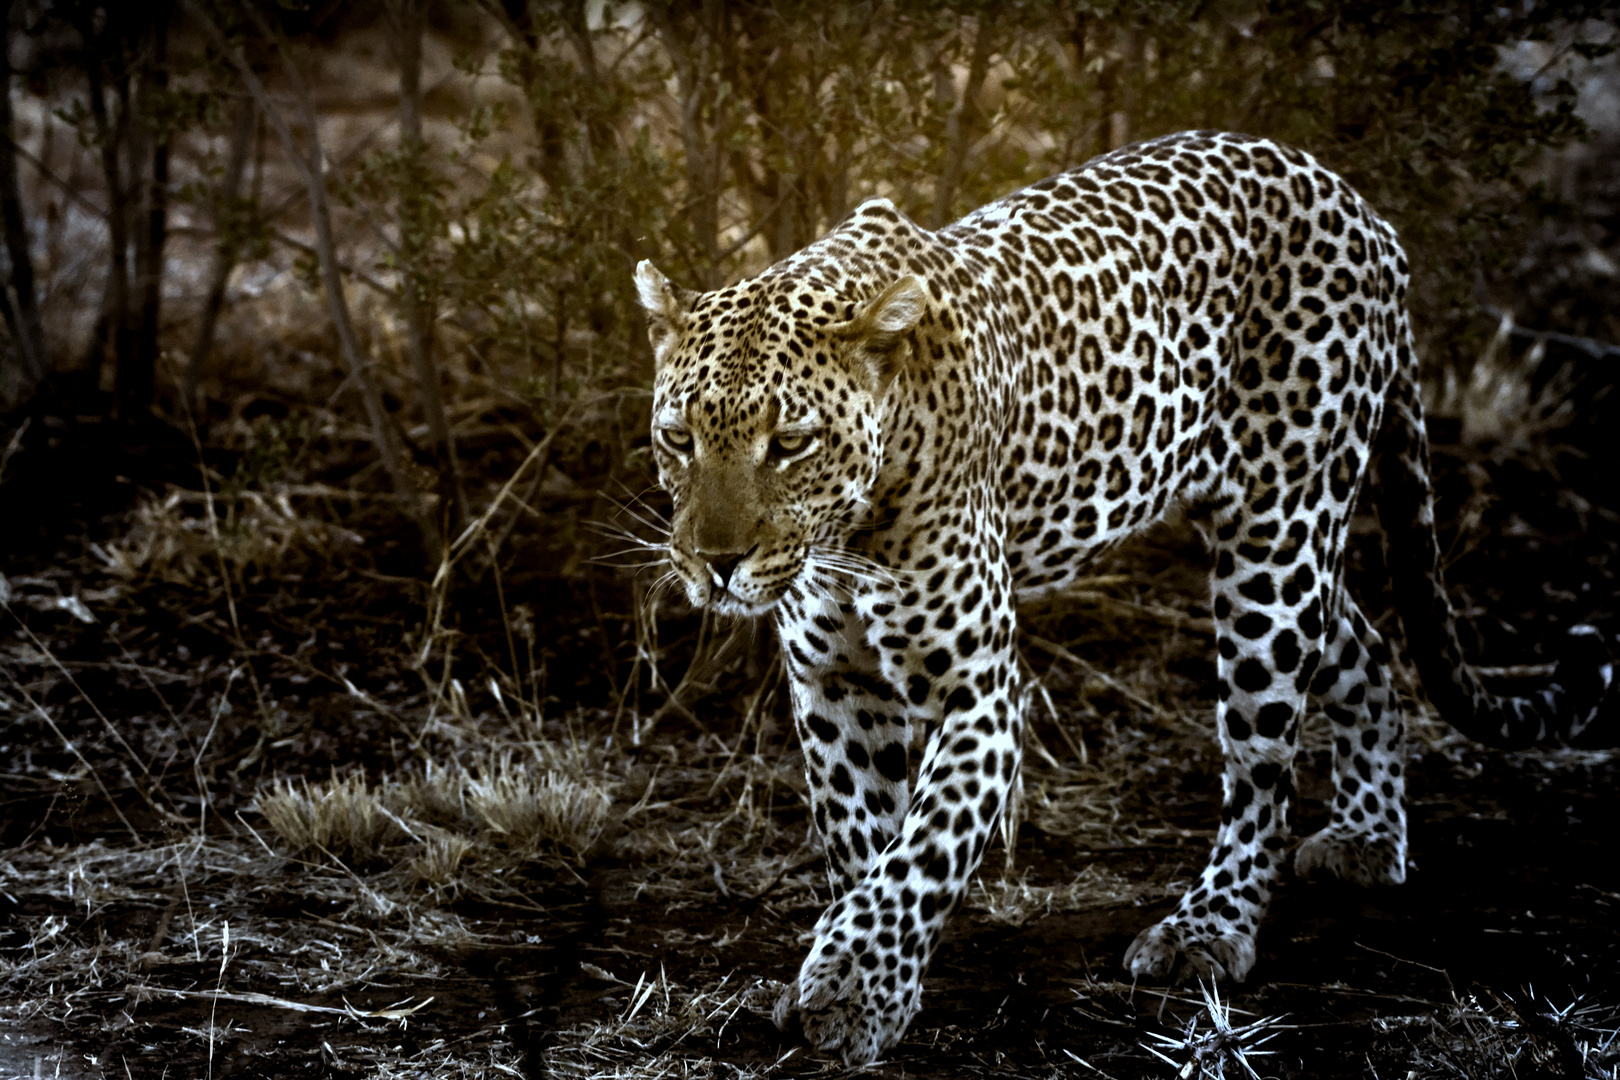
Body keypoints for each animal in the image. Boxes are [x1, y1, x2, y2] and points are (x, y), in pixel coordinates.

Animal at [625, 128, 1613, 1062]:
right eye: (677, 438)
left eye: (790, 443)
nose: (716, 562)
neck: (848, 535)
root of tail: (1361, 206)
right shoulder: (833, 683)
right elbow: (861, 836)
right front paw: (851, 961)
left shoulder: (979, 693)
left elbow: (925, 844)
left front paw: (855, 990)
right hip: (1279, 540)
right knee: (1367, 654)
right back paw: (1368, 841)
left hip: (1276, 545)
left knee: (1261, 766)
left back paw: (1208, 929)